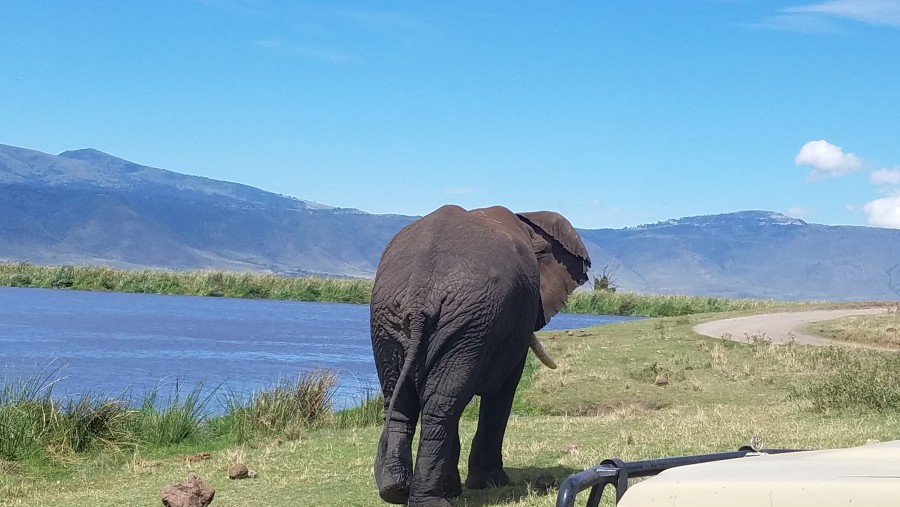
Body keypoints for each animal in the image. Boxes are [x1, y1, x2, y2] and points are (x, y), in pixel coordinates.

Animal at [368, 204, 592, 506]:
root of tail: (419, 292)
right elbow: (503, 391)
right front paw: (491, 483)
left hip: (398, 317)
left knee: (410, 401)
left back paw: (397, 490)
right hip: (462, 322)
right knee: (441, 406)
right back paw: (433, 499)